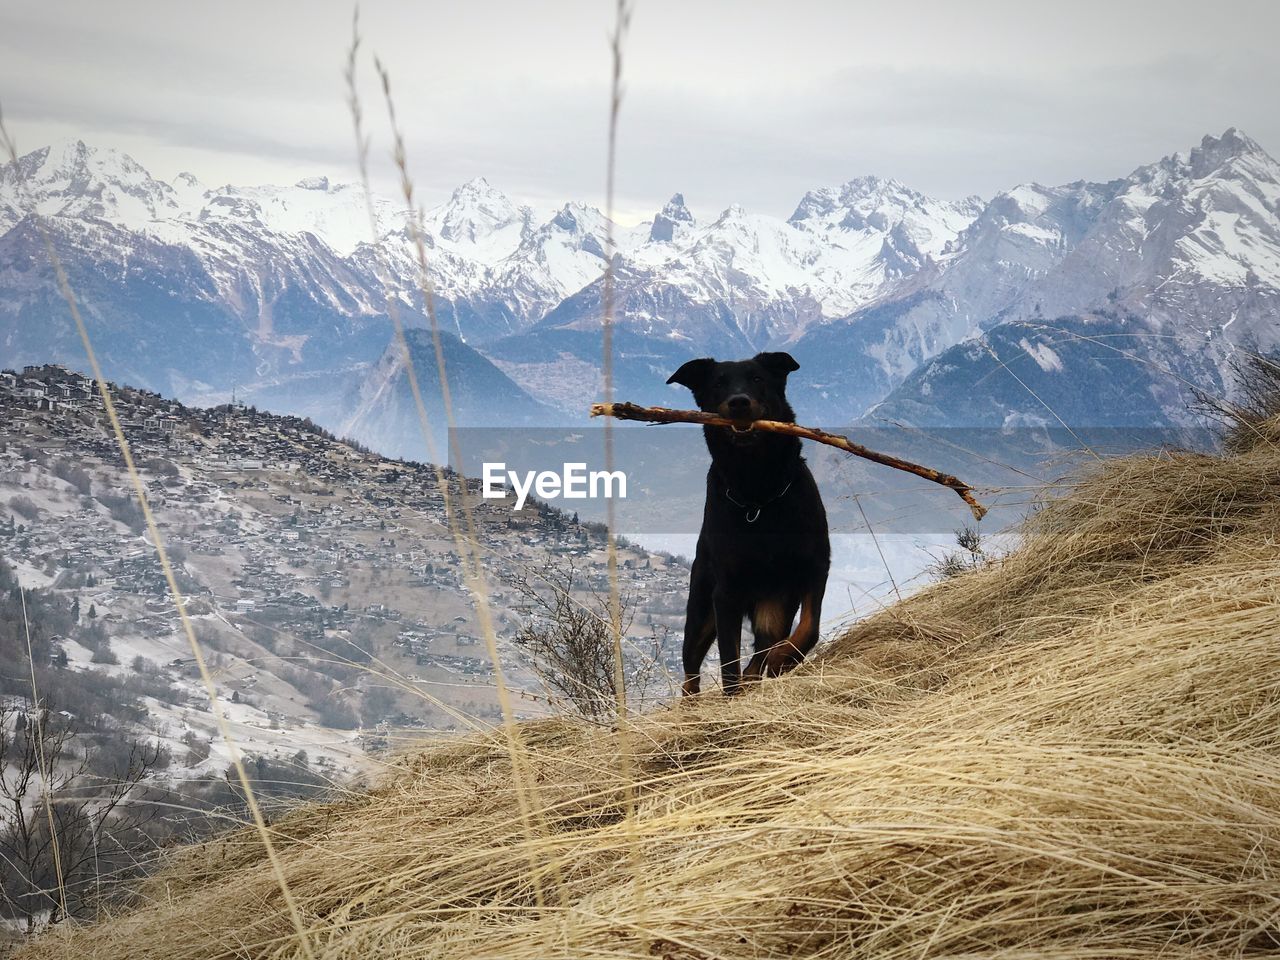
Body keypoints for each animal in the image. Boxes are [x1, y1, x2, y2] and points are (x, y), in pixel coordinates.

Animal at [665, 350, 834, 691]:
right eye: (718, 383)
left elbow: (809, 627)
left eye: (757, 378)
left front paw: (784, 658)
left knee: (759, 656)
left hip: (774, 606)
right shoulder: (726, 593)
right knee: (691, 670)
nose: (739, 402)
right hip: (701, 610)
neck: (757, 494)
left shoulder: (815, 567)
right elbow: (729, 663)